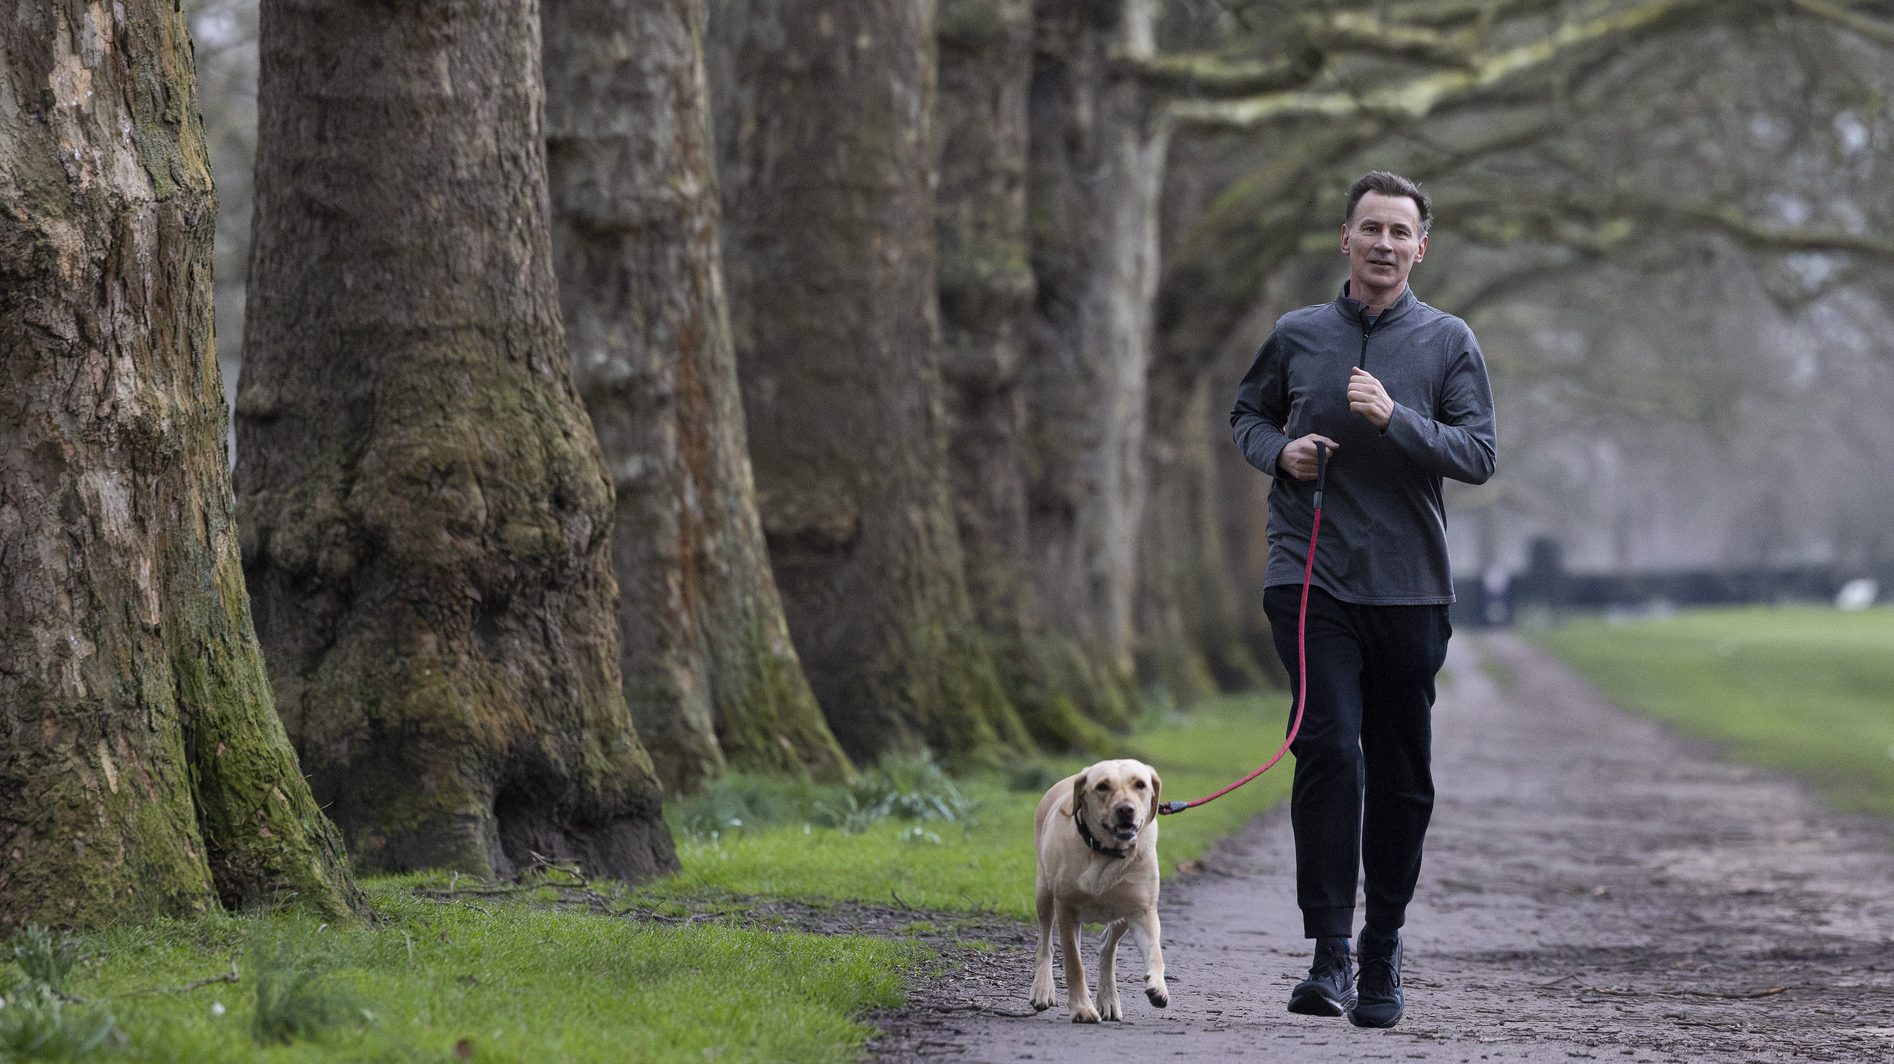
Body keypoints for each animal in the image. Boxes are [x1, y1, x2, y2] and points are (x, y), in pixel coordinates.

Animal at [1030, 753, 1159, 1022]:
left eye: (1140, 784)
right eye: (1102, 786)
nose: (1126, 809)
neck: (1106, 853)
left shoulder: (1143, 909)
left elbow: (1155, 951)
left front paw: (1158, 987)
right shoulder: (1066, 907)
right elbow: (1073, 963)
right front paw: (1081, 1008)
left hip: (1122, 916)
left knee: (1107, 947)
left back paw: (1108, 999)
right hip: (1044, 893)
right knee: (1045, 942)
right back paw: (1043, 989)